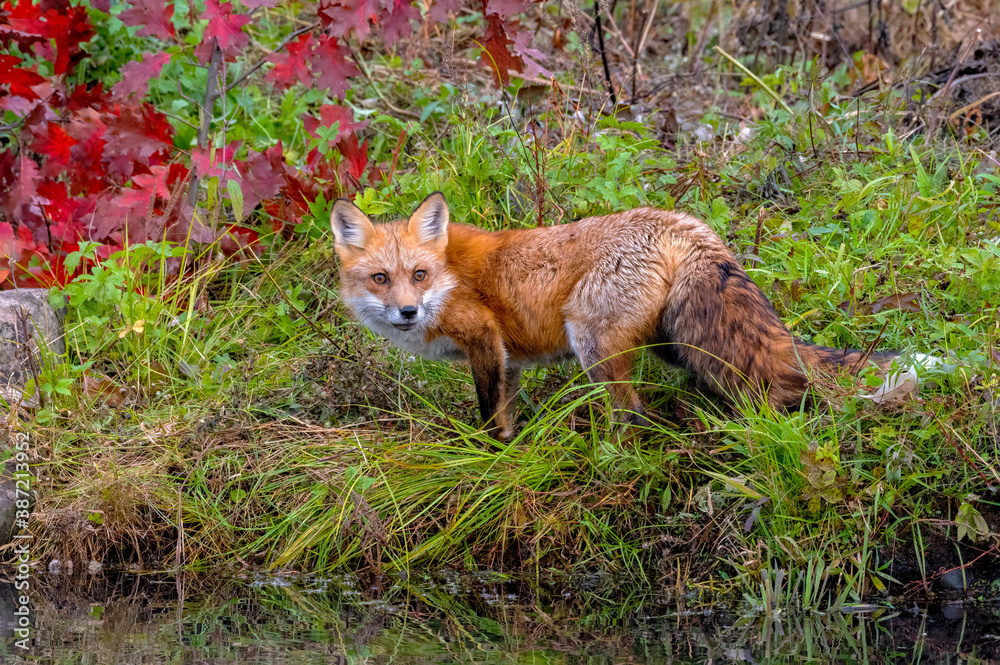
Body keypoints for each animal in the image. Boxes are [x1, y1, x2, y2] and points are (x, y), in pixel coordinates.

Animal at [331, 192, 897, 441]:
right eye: (380, 278)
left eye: (419, 274)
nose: (407, 310)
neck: (449, 277)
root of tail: (682, 224)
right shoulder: (507, 357)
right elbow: (507, 410)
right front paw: (511, 450)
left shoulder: (484, 339)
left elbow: (491, 414)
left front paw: (492, 459)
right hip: (676, 346)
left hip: (593, 344)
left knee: (631, 412)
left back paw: (611, 459)